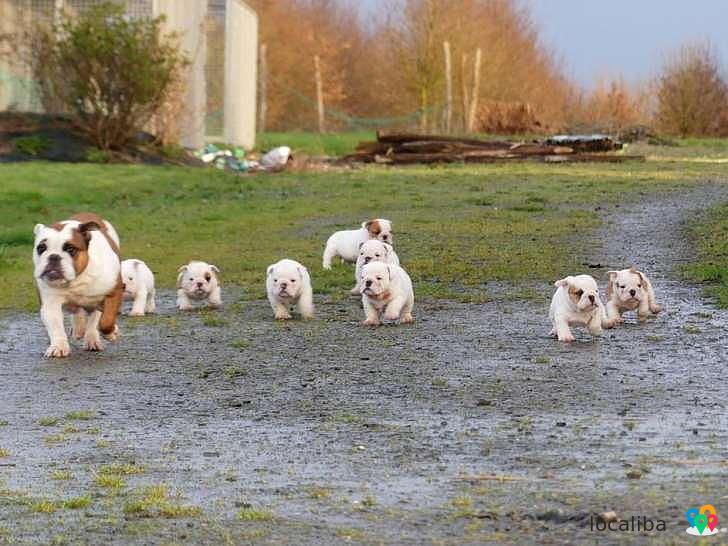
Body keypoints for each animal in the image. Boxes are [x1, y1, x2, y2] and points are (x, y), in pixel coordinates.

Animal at [32, 211, 123, 356]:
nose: (53, 256)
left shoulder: (113, 292)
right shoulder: (51, 304)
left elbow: (106, 321)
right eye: (41, 248)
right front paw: (58, 346)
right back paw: (79, 328)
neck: (76, 279)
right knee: (77, 311)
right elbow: (55, 326)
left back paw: (92, 340)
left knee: (93, 319)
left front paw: (110, 333)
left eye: (70, 249)